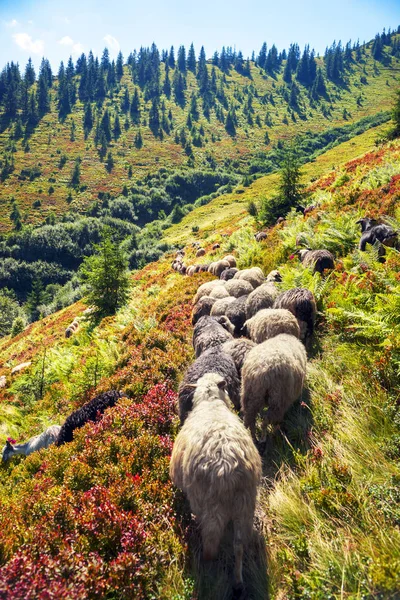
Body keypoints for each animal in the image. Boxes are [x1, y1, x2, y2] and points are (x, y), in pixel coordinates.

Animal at [170, 372, 260, 588]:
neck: (210, 403)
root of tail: (226, 467)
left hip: (206, 504)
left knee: (210, 537)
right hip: (245, 503)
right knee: (238, 545)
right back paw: (237, 581)